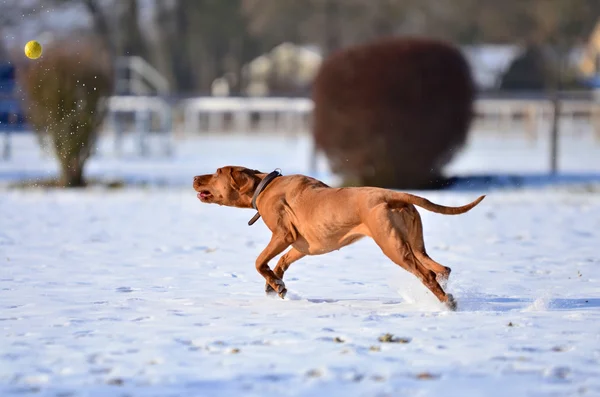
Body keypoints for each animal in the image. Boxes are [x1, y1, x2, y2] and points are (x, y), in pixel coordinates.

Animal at [195, 165, 486, 310]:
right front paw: (275, 284)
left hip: (393, 247)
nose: (195, 177)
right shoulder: (304, 245)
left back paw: (446, 303)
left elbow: (259, 261)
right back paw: (446, 291)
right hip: (415, 244)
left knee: (426, 274)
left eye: (218, 172)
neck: (263, 186)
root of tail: (392, 194)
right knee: (441, 268)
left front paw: (275, 284)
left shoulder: (283, 234)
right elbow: (280, 262)